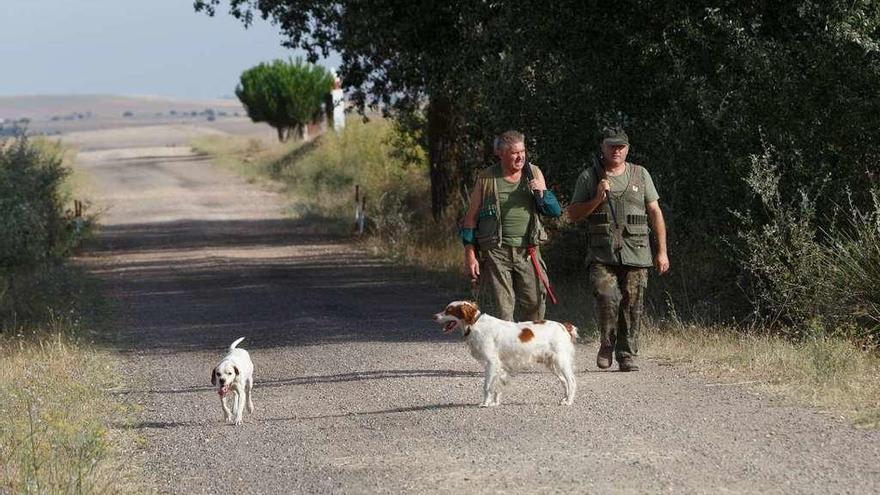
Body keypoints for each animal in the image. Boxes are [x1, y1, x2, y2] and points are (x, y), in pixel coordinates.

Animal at [432, 302, 576, 406]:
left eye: (449, 310)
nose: (434, 316)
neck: (474, 324)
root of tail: (563, 326)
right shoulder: (498, 365)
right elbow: (496, 386)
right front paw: (495, 402)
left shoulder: (491, 363)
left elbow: (487, 386)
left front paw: (485, 403)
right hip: (553, 364)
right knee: (564, 382)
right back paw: (565, 399)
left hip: (561, 362)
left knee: (571, 381)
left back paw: (569, 401)